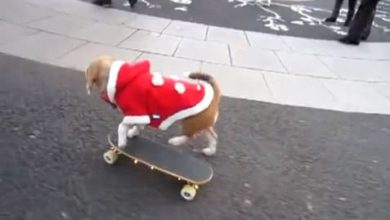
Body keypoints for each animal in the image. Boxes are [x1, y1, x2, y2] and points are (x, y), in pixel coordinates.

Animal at [84, 56, 221, 156]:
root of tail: (214, 94)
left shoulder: (135, 112)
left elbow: (122, 126)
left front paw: (122, 142)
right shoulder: (141, 116)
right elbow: (137, 126)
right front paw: (133, 132)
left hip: (190, 122)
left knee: (190, 135)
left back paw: (176, 141)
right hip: (202, 123)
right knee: (213, 136)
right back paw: (210, 150)